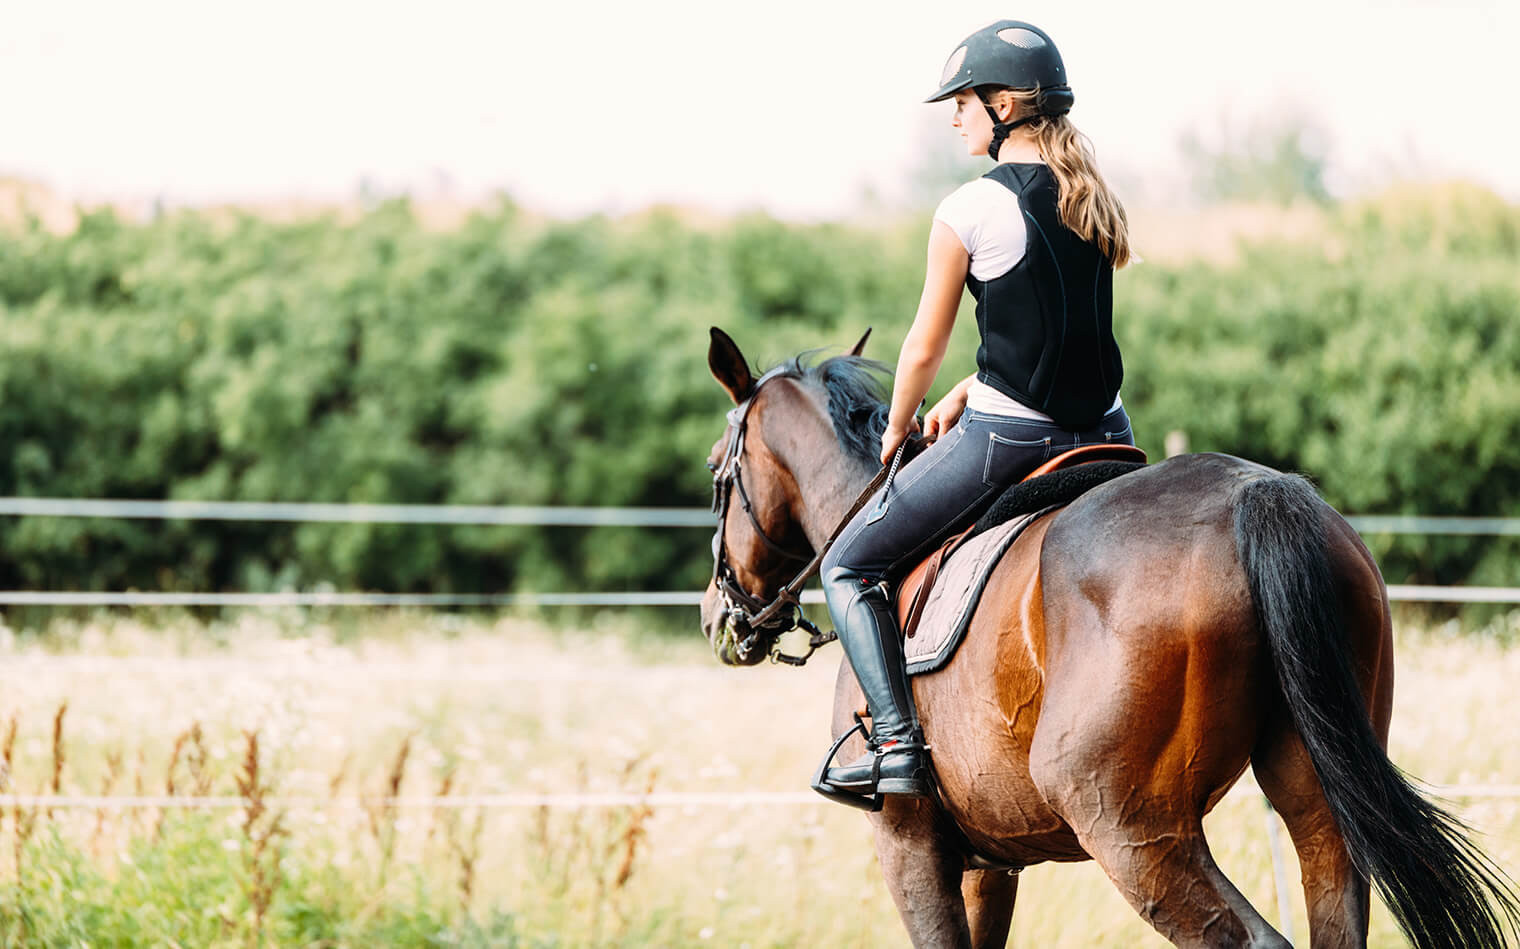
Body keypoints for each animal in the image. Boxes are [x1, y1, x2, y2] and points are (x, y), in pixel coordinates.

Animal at [699, 328, 1520, 949]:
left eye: (715, 472)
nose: (717, 618)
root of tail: (1257, 492)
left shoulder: (910, 846)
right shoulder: (990, 864)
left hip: (1130, 828)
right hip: (1317, 798)